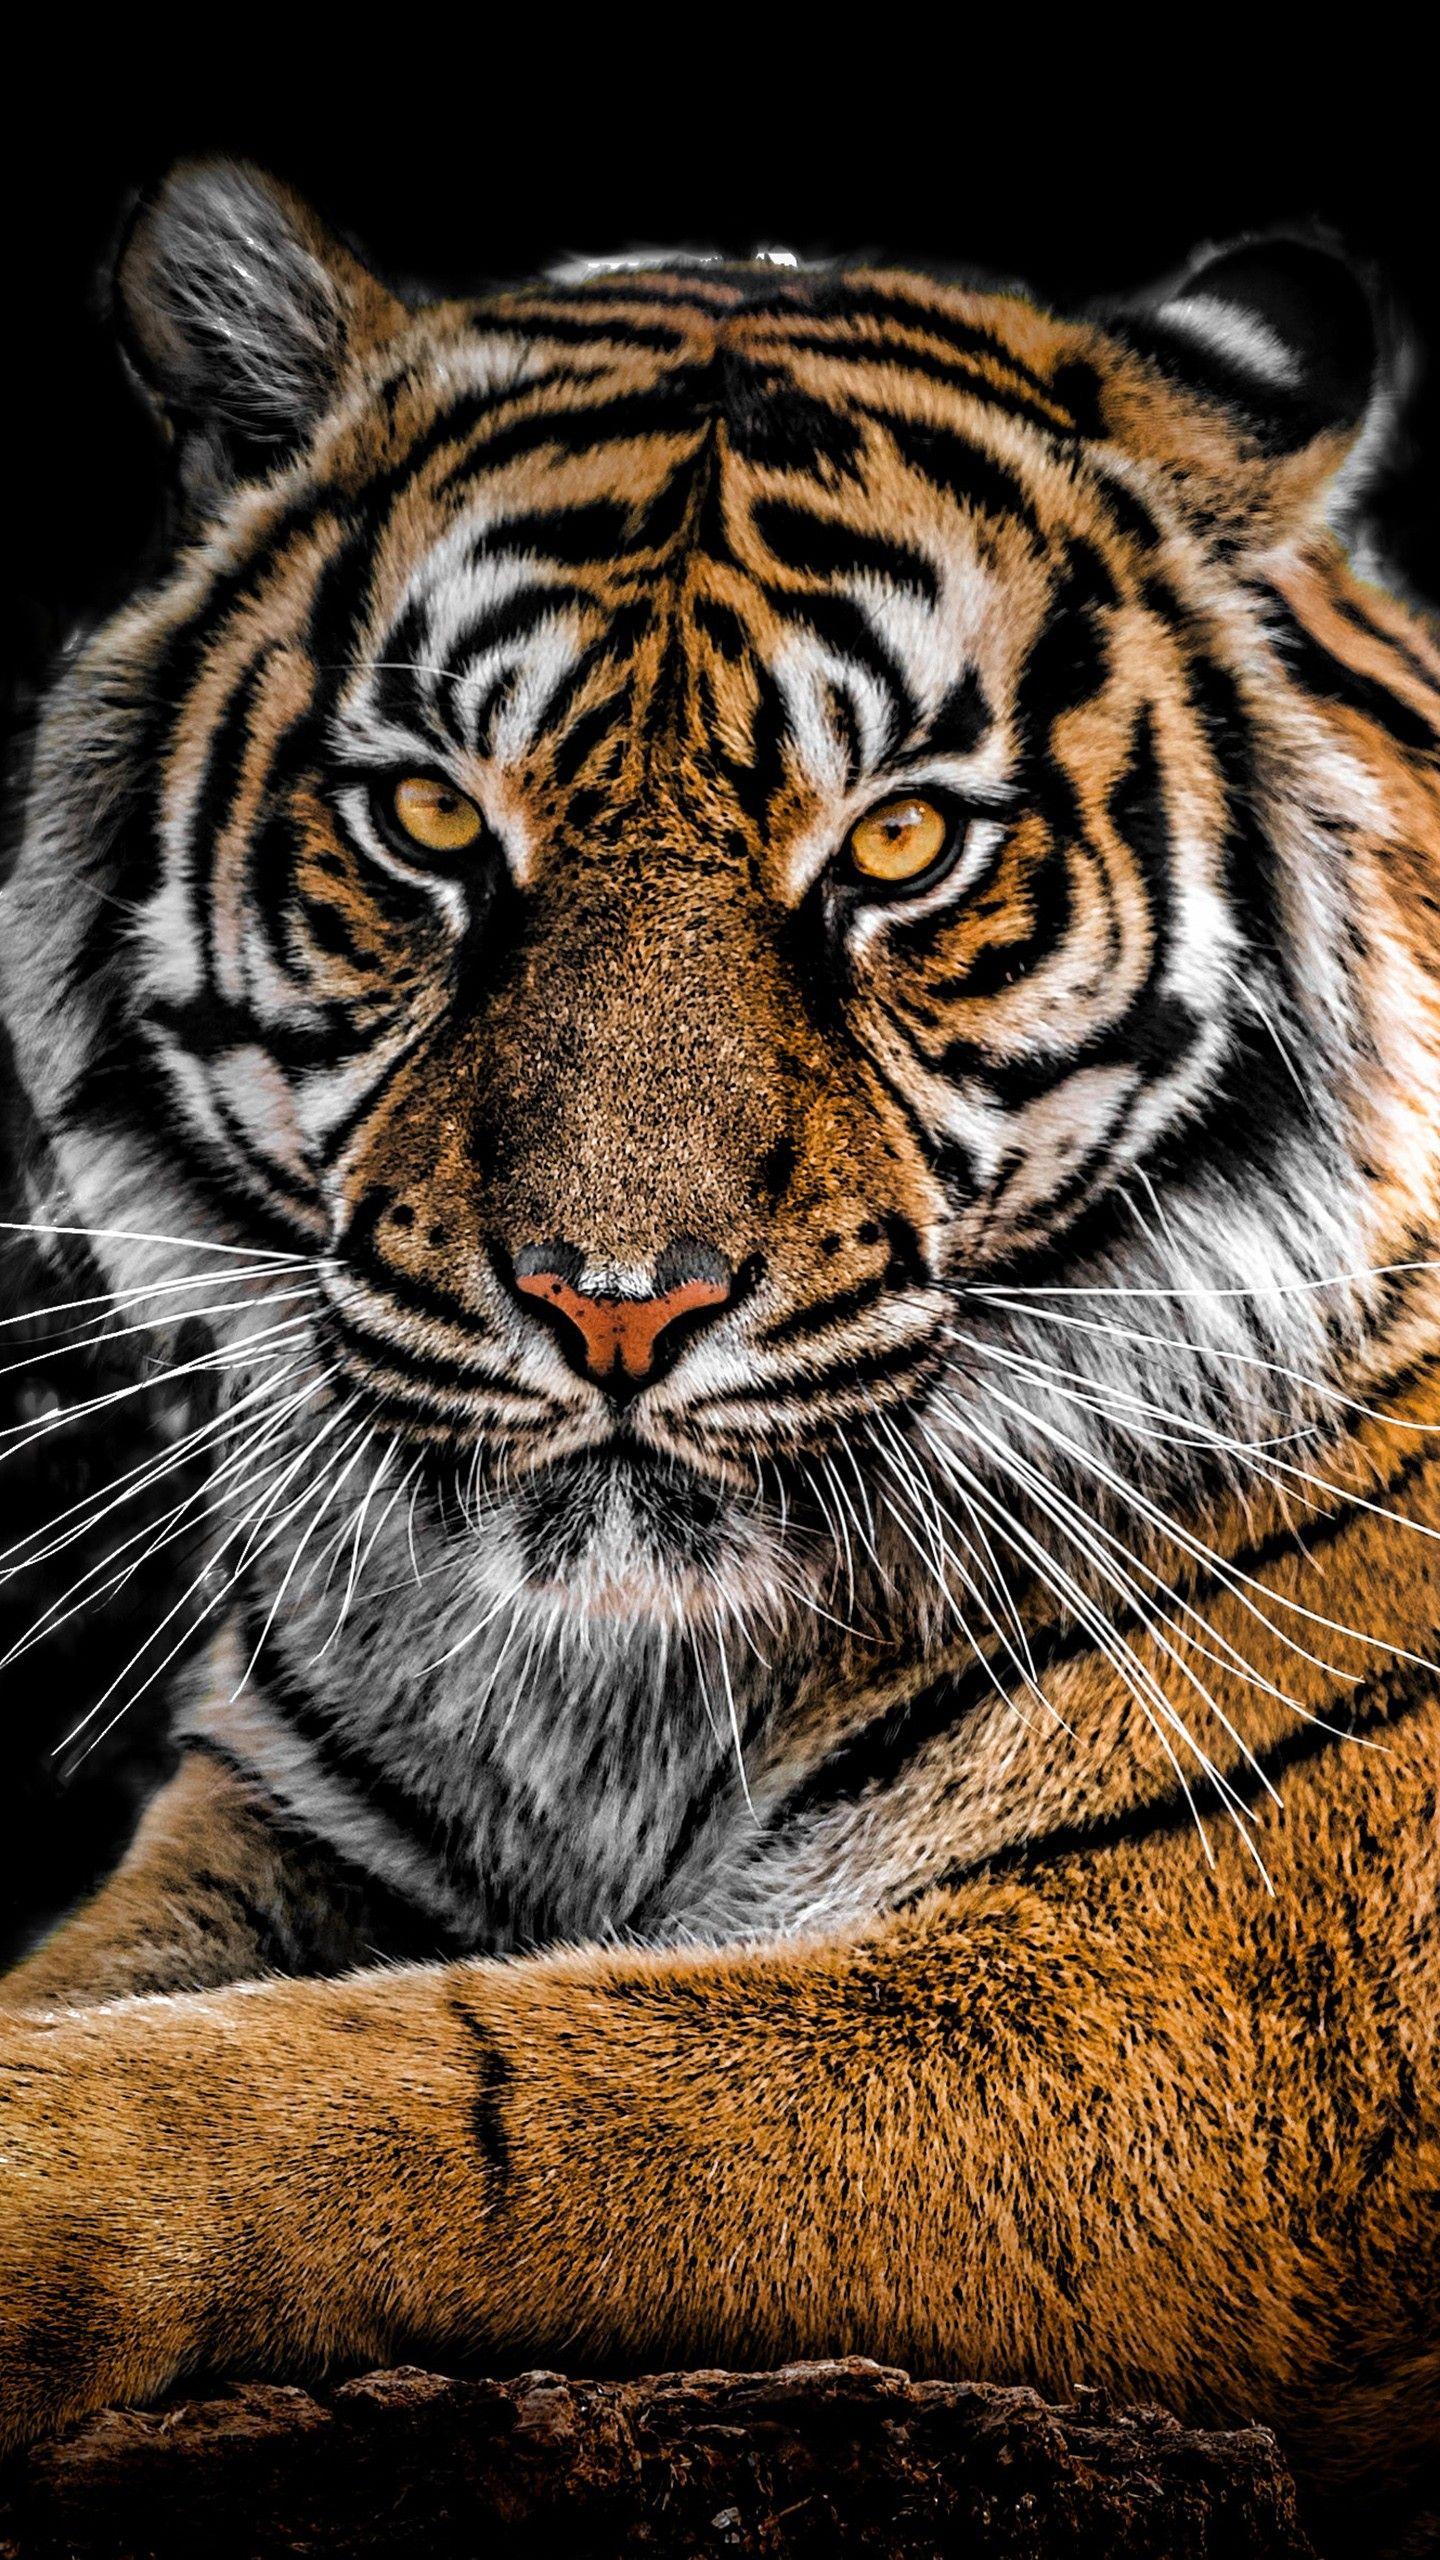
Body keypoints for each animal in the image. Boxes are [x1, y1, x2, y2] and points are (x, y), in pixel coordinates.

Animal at [0, 157, 1438, 2534]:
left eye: (901, 842)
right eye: (430, 820)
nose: (617, 1300)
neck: (622, 1693)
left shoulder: (1185, 2019)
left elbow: (453, 2093)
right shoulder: (281, 1825)